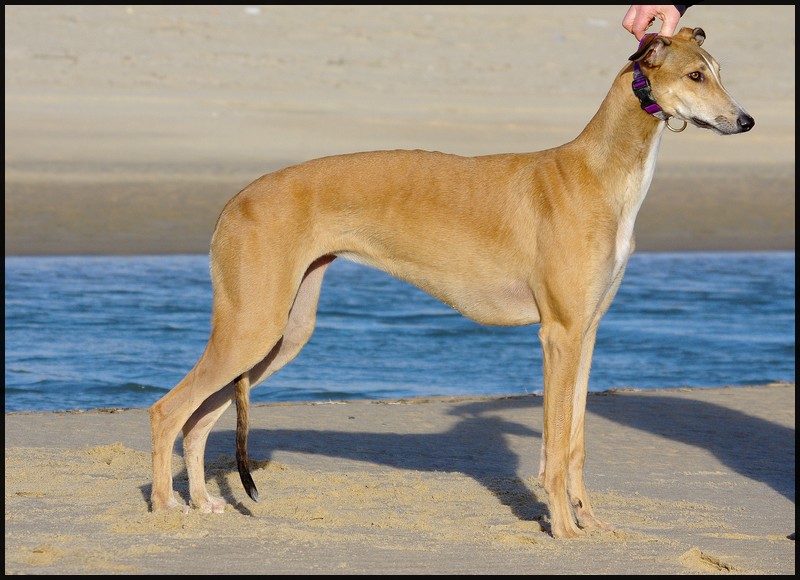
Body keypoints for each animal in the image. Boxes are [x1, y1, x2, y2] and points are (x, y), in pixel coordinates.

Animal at [149, 27, 753, 538]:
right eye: (694, 76)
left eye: (718, 71)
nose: (745, 121)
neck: (598, 172)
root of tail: (235, 200)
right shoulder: (557, 334)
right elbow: (555, 449)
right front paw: (562, 529)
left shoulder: (586, 331)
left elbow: (576, 442)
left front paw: (590, 522)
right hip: (253, 325)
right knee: (167, 410)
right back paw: (164, 508)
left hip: (280, 333)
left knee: (197, 420)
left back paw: (201, 502)